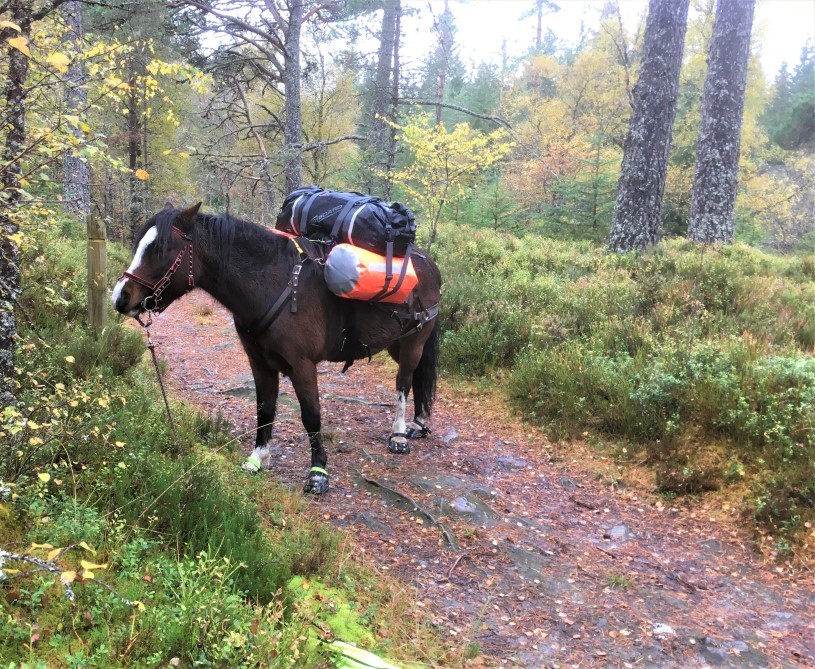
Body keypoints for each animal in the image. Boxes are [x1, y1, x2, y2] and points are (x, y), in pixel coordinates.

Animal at [112, 201, 444, 494]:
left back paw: (399, 434)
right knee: (415, 379)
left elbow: (311, 416)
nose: (120, 297)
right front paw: (258, 458)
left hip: (414, 341)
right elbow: (264, 409)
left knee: (403, 382)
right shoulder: (259, 363)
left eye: (160, 249)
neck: (275, 285)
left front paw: (318, 473)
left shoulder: (302, 365)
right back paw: (418, 422)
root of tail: (429, 264)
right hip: (395, 343)